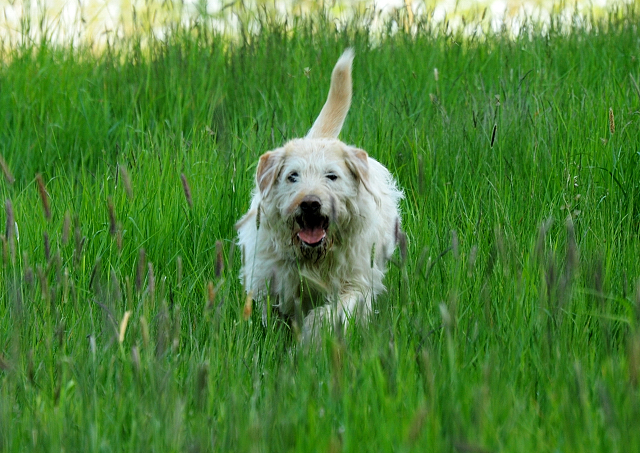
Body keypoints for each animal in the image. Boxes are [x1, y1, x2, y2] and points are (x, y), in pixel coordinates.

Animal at [238, 50, 402, 340]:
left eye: (331, 176)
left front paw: (313, 335)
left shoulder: (357, 282)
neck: (314, 258)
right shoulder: (267, 281)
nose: (310, 203)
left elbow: (336, 310)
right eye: (292, 176)